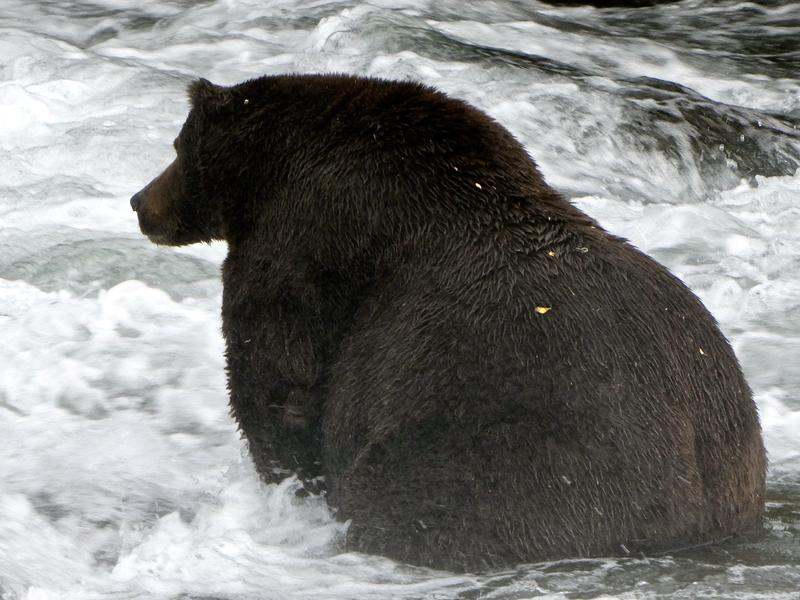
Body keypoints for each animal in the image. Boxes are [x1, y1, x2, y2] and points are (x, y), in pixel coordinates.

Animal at [130, 74, 766, 572]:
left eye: (177, 145)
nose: (139, 201)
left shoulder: (301, 245)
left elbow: (278, 376)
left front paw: (289, 485)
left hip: (508, 455)